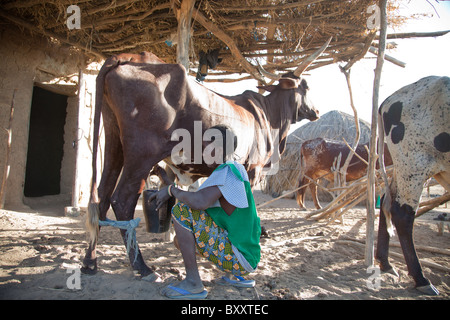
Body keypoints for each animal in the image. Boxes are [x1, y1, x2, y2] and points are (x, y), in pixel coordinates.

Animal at [83, 39, 330, 278]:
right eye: (306, 87)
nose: (317, 112)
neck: (270, 117)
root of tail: (129, 56)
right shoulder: (252, 169)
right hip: (141, 155)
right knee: (122, 200)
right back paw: (141, 267)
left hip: (113, 141)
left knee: (101, 197)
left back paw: (90, 262)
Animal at [378, 75, 448, 296]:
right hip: (414, 163)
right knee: (402, 214)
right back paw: (421, 279)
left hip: (405, 168)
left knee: (386, 201)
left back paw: (385, 263)